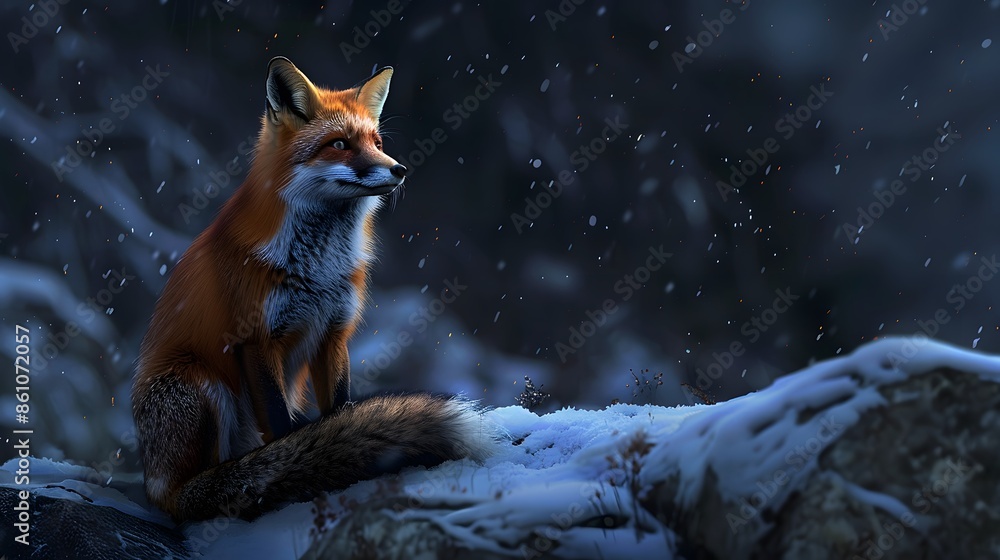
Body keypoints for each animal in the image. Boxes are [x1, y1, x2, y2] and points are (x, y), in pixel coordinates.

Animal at [131, 57, 494, 522]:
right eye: (339, 144)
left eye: (377, 142)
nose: (399, 169)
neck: (317, 269)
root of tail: (151, 483)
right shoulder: (255, 339)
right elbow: (282, 429)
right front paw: (290, 467)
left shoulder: (334, 332)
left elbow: (338, 411)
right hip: (197, 381)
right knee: (194, 493)